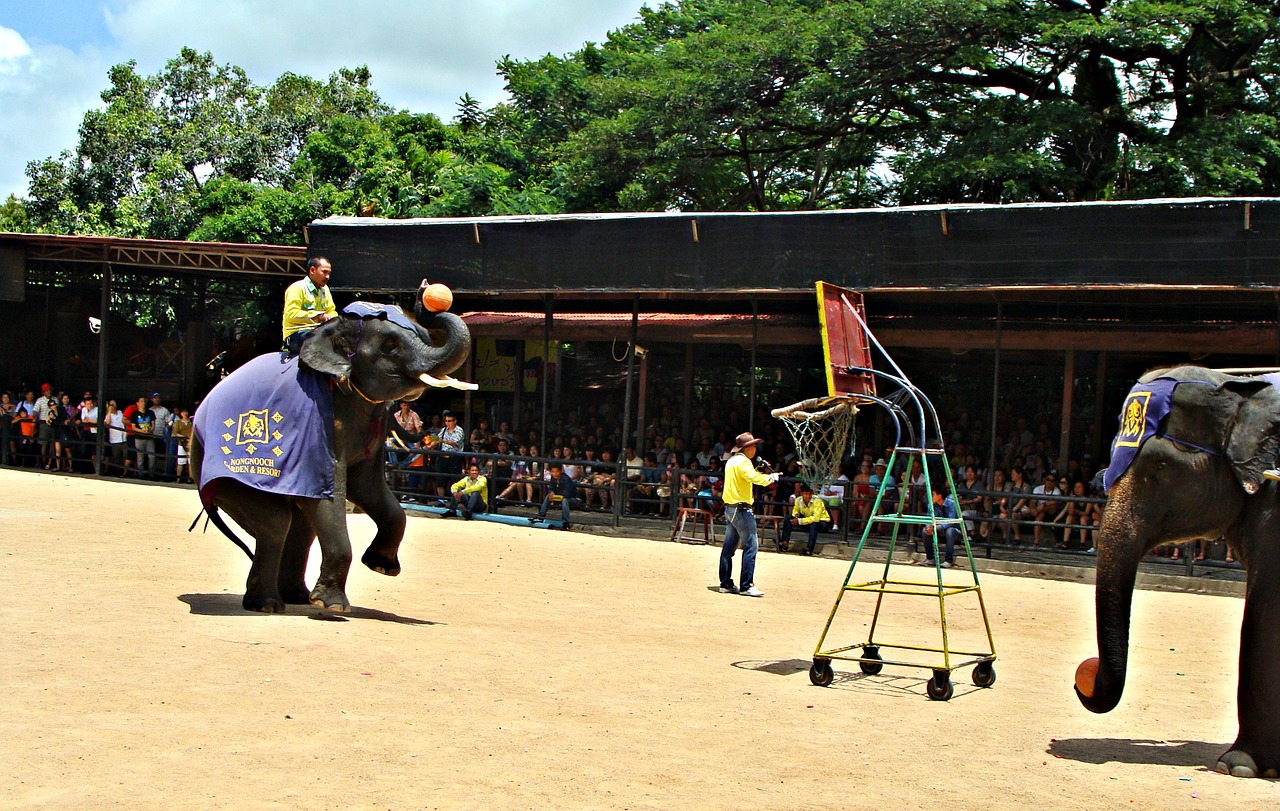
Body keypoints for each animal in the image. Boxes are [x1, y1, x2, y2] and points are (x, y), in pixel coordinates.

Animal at [189, 287, 471, 608]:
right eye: (390, 344)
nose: (426, 293)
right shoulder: (321, 423)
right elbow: (331, 490)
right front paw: (331, 605)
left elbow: (367, 488)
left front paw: (381, 567)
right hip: (220, 470)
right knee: (276, 523)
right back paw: (268, 604)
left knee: (300, 526)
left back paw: (295, 597)